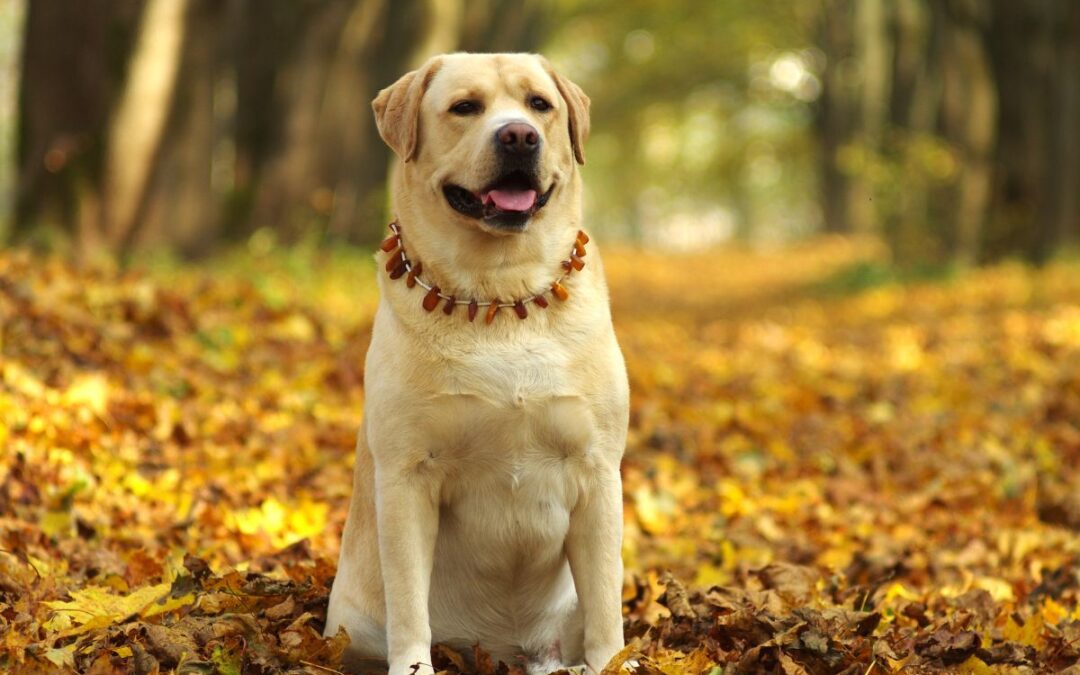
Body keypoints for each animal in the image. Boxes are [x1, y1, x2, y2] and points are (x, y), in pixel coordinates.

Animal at [324, 55, 630, 673]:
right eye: (465, 107)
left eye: (540, 104)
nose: (519, 136)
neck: (500, 291)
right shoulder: (408, 474)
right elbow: (409, 602)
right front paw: (413, 666)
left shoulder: (597, 470)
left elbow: (606, 599)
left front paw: (612, 661)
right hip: (351, 621)